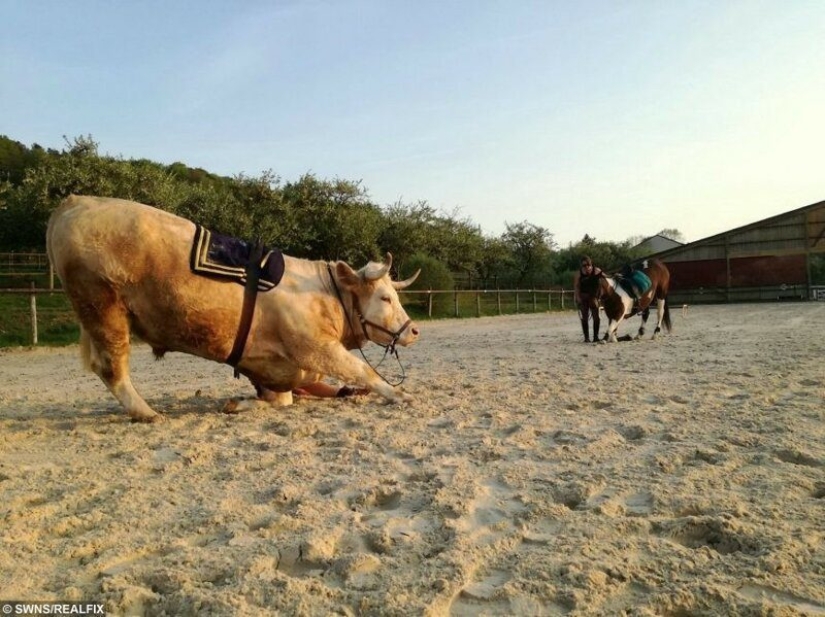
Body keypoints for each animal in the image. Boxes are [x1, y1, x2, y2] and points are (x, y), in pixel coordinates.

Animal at [46, 195, 421, 422]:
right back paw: (147, 412)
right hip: (102, 305)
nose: (414, 330)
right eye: (385, 298)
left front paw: (237, 403)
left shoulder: (272, 370)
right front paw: (400, 393)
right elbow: (363, 371)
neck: (325, 295)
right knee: (111, 366)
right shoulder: (315, 348)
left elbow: (281, 401)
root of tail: (74, 202)